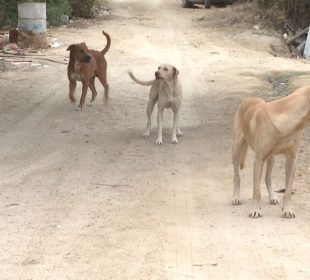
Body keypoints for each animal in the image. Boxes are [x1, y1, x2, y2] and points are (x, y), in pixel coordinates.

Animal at [231, 86, 310, 218]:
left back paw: (272, 197)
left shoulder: (292, 160)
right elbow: (256, 190)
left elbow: (288, 191)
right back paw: (236, 197)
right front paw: (255, 210)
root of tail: (248, 98)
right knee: (237, 176)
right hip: (237, 149)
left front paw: (287, 210)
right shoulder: (258, 159)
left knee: (268, 177)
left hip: (271, 158)